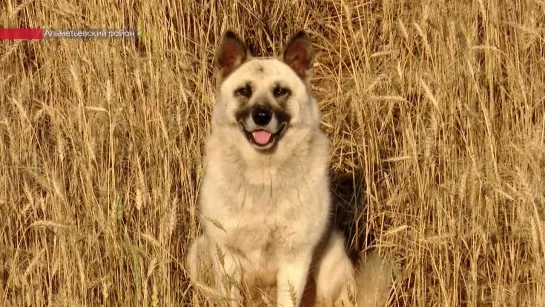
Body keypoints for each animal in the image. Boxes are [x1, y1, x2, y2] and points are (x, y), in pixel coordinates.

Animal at [187, 29, 392, 307]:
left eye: (280, 91)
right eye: (244, 91)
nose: (262, 116)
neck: (263, 175)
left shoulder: (295, 258)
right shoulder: (226, 255)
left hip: (331, 265)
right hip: (197, 253)